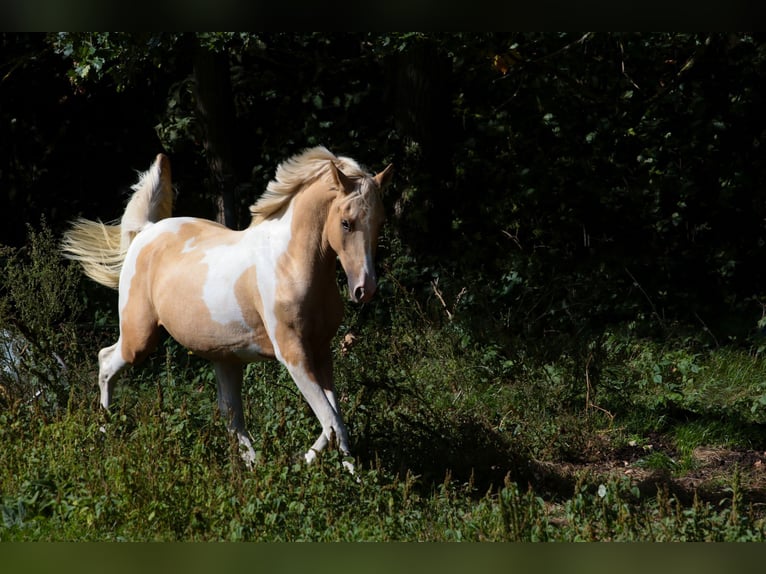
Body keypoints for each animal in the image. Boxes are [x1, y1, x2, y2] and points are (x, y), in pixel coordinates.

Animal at [61, 147, 393, 472]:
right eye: (346, 222)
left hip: (225, 357)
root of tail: (146, 232)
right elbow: (332, 421)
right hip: (139, 338)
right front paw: (315, 468)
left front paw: (337, 471)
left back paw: (253, 469)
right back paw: (104, 434)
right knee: (106, 362)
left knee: (231, 415)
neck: (289, 262)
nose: (364, 289)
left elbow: (335, 421)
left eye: (379, 222)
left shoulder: (322, 353)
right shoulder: (293, 354)